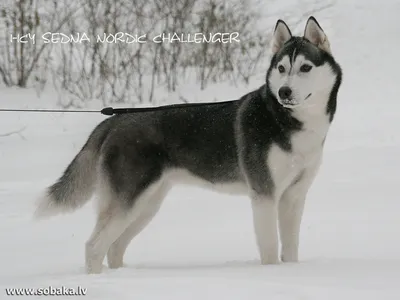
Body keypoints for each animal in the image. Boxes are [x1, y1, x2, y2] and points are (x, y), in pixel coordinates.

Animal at [34, 17, 342, 274]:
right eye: (281, 68)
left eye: (305, 67)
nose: (284, 92)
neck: (288, 121)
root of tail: (113, 120)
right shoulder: (264, 194)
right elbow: (269, 247)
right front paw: (272, 275)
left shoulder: (294, 196)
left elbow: (290, 248)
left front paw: (291, 271)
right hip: (128, 201)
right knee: (95, 246)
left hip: (147, 204)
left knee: (115, 247)